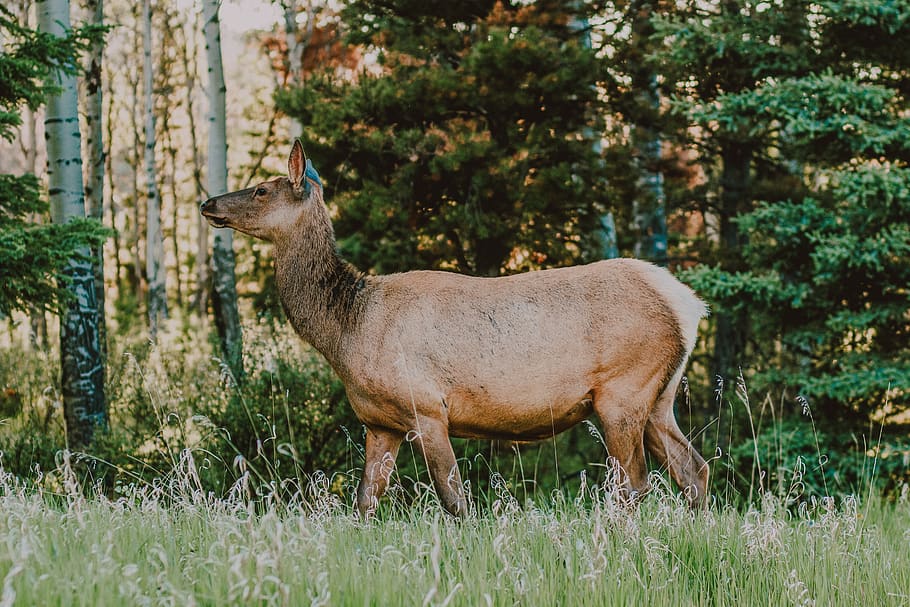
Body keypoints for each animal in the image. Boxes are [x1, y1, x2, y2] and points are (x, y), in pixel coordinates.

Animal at [200, 140, 710, 517]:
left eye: (262, 189)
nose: (207, 203)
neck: (346, 329)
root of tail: (687, 304)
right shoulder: (378, 422)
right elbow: (364, 503)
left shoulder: (426, 408)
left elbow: (455, 501)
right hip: (659, 398)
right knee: (694, 470)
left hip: (623, 389)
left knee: (635, 483)